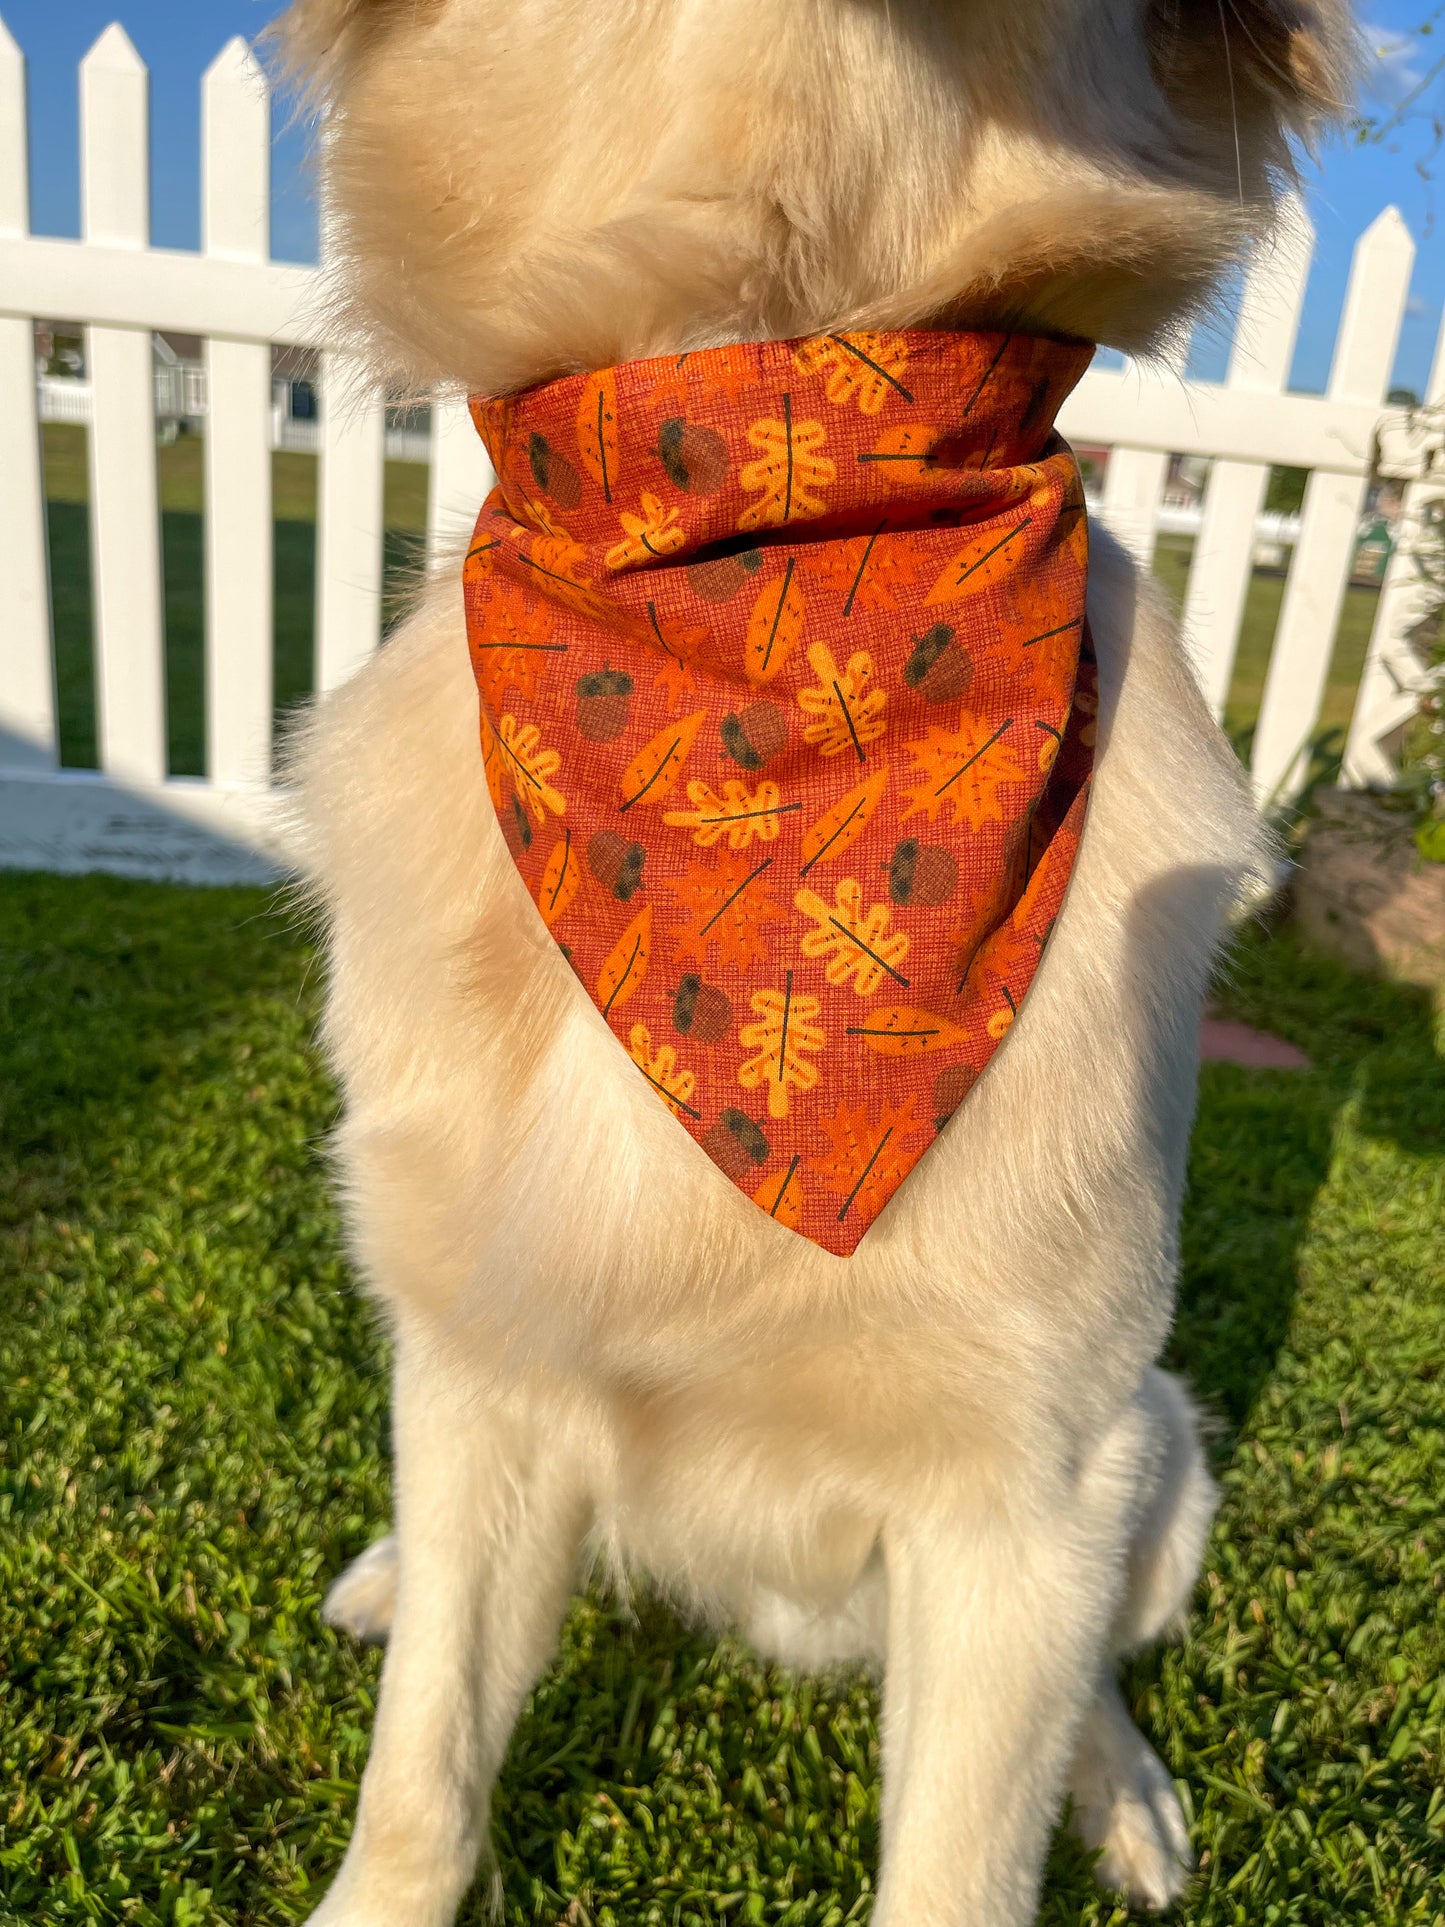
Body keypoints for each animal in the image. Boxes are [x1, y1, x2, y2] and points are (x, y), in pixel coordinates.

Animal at [273, 7, 1356, 1919]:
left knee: (1098, 1681)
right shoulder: (477, 1351)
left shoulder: (1030, 1478)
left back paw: (1129, 1797)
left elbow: (963, 1858)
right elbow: (421, 1771)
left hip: (1162, 1454)